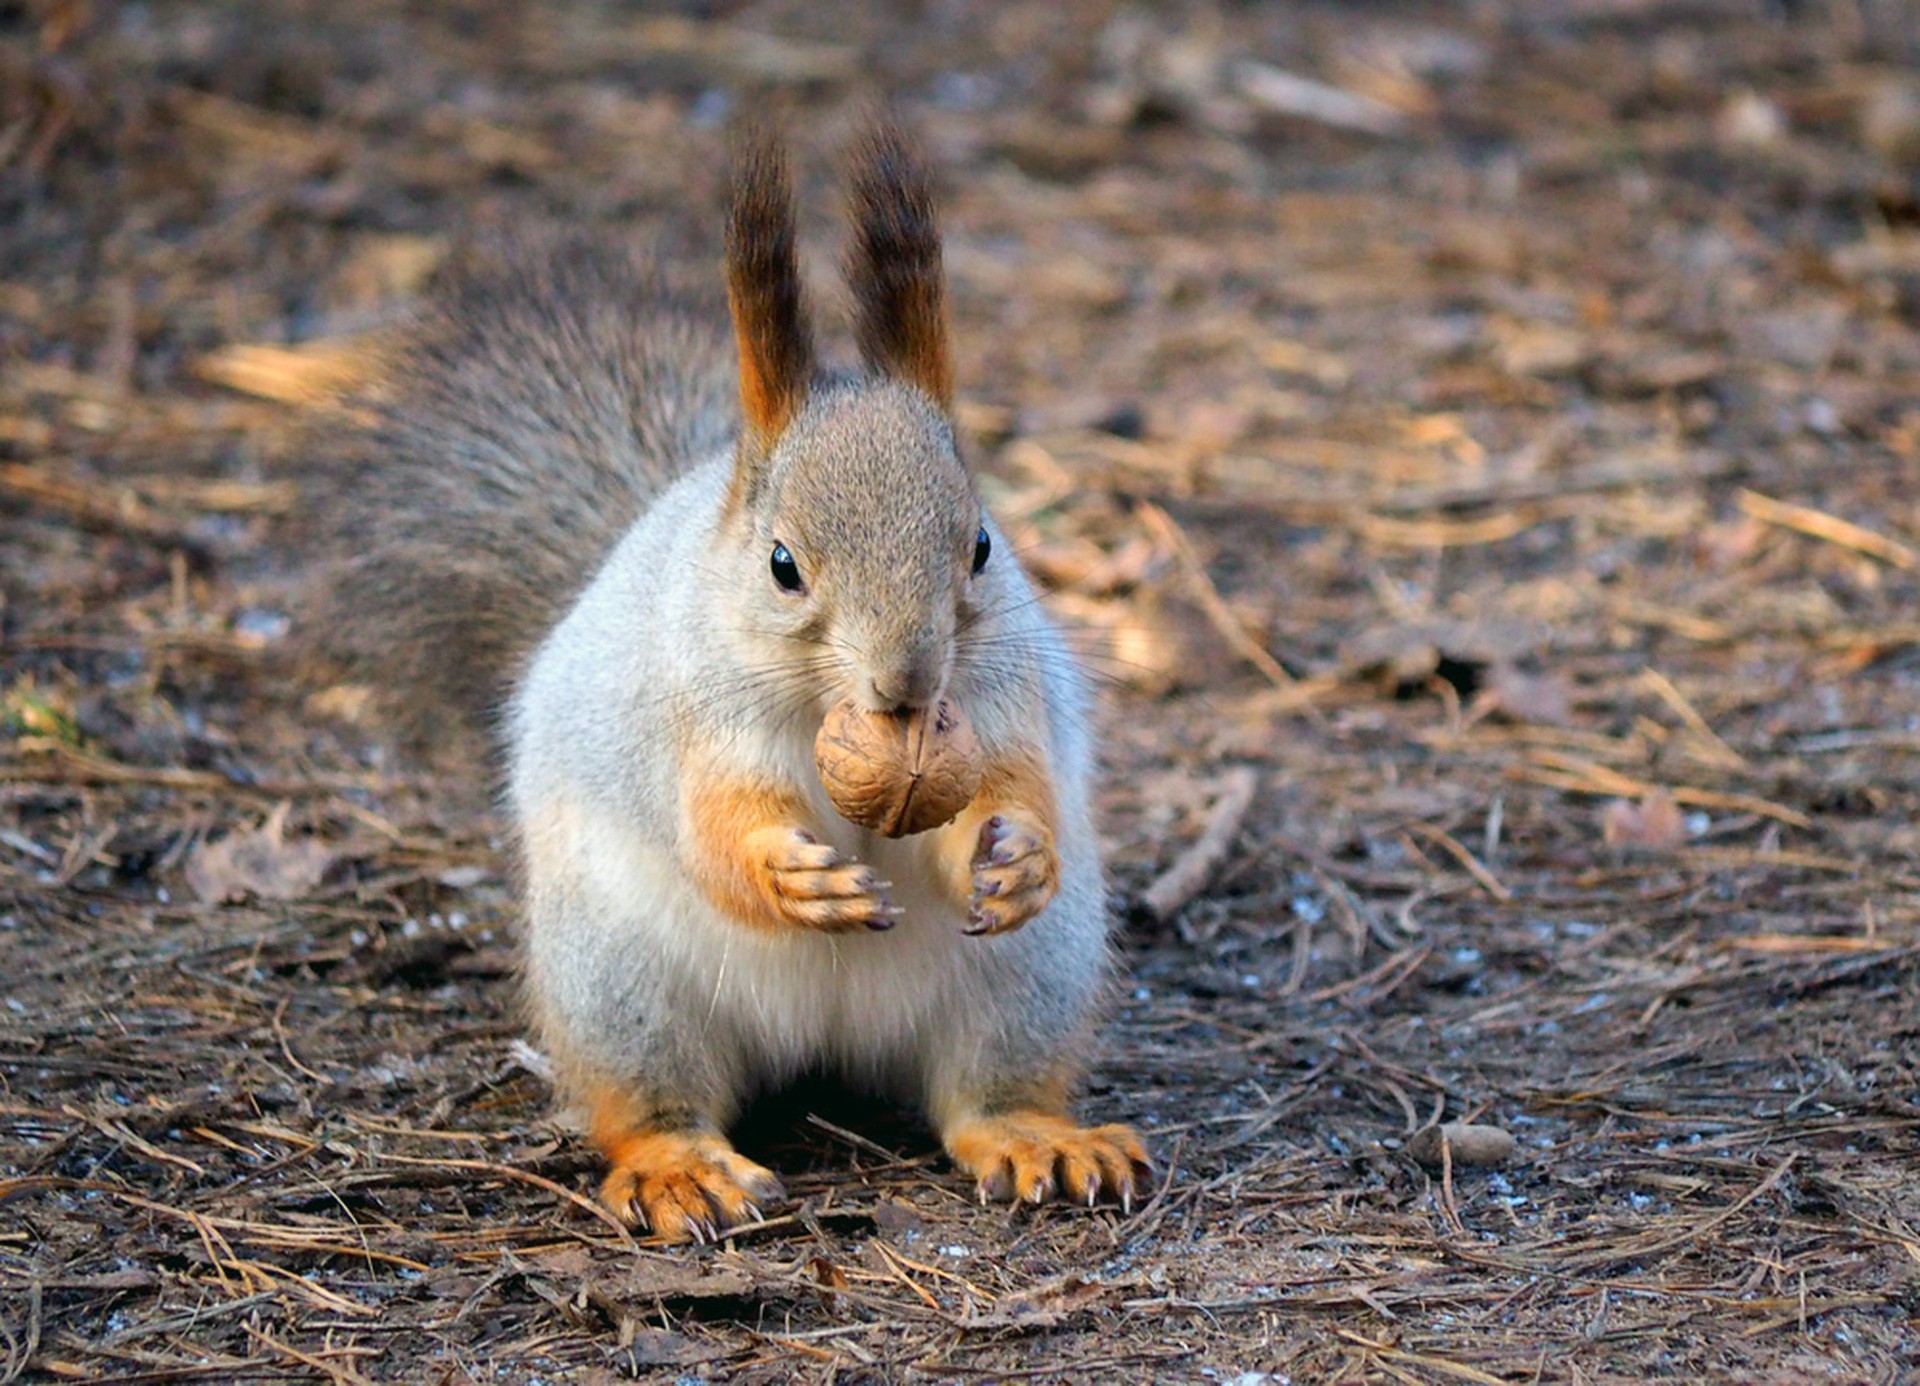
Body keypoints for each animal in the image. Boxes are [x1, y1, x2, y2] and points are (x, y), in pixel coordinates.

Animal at [307, 123, 1144, 1236]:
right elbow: (713, 824)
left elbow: (1016, 782)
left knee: (986, 1092)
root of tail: (829, 1045)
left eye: (980, 547)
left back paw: (1039, 1138)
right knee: (649, 1099)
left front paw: (1019, 856)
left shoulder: (1007, 703)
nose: (907, 683)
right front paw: (789, 874)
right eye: (783, 564)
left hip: (1032, 974)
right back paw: (680, 1166)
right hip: (618, 979)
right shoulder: (692, 717)